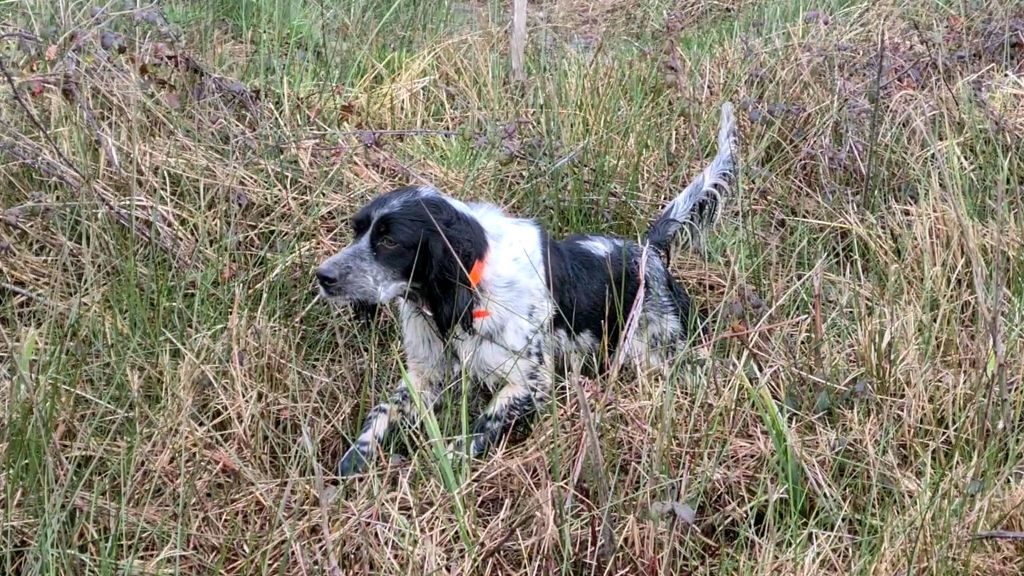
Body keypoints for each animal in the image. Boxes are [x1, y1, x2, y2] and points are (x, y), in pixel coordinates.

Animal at [317, 100, 737, 473]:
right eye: (357, 231)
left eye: (389, 241)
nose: (323, 276)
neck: (464, 294)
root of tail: (647, 251)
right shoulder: (426, 374)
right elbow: (382, 410)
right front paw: (357, 456)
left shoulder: (530, 383)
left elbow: (482, 426)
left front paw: (446, 462)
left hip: (657, 350)